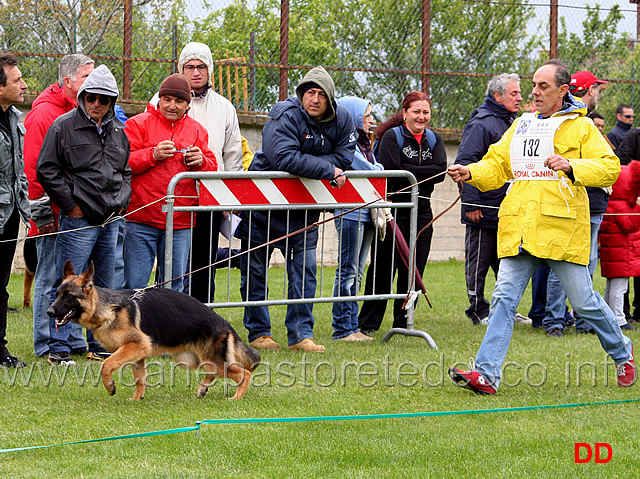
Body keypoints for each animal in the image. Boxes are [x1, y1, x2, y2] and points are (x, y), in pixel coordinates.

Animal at [45, 262, 262, 402]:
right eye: (57, 294)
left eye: (69, 296)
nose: (49, 312)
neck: (108, 309)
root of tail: (224, 323)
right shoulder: (137, 353)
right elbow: (140, 378)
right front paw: (136, 399)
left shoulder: (134, 346)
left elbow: (107, 364)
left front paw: (110, 386)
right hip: (194, 360)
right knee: (215, 372)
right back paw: (202, 389)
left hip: (210, 359)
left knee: (244, 373)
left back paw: (236, 397)